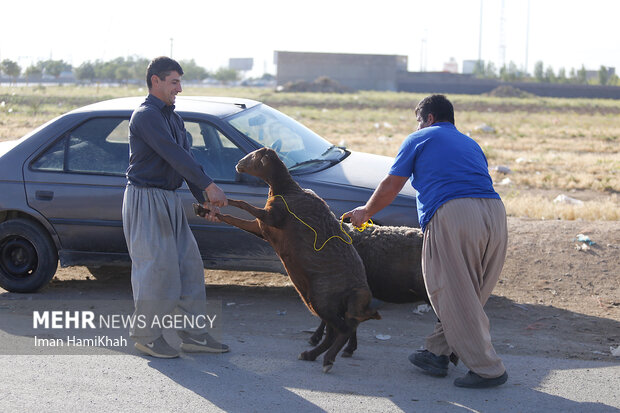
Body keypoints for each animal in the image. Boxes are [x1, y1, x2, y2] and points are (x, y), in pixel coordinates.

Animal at [208, 146, 380, 372]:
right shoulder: (262, 228)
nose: (237, 164)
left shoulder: (272, 217)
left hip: (322, 299)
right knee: (334, 331)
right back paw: (310, 354)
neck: (286, 189)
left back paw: (328, 360)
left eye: (254, 155)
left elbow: (246, 205)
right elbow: (234, 218)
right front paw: (211, 209)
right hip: (324, 302)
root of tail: (360, 292)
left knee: (342, 329)